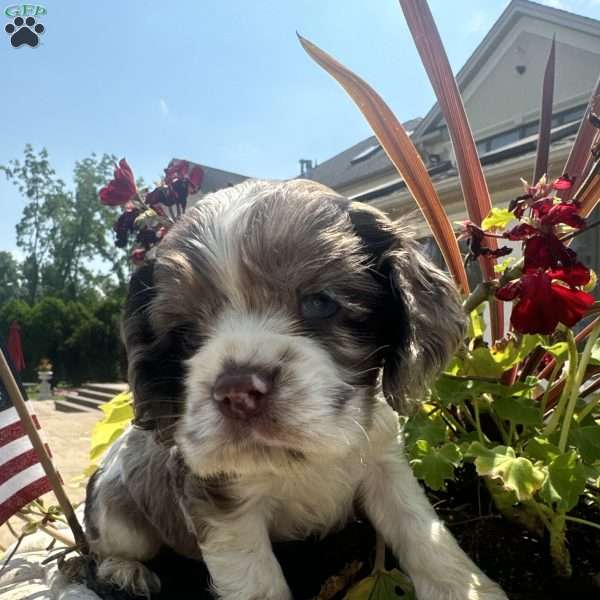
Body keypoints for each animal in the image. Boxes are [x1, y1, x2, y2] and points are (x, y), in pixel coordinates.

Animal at [84, 179, 506, 600]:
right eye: (186, 335)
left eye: (319, 303)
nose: (237, 391)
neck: (301, 455)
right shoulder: (221, 502)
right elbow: (256, 581)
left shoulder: (384, 462)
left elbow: (420, 529)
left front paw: (465, 589)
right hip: (120, 517)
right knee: (101, 549)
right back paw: (125, 571)